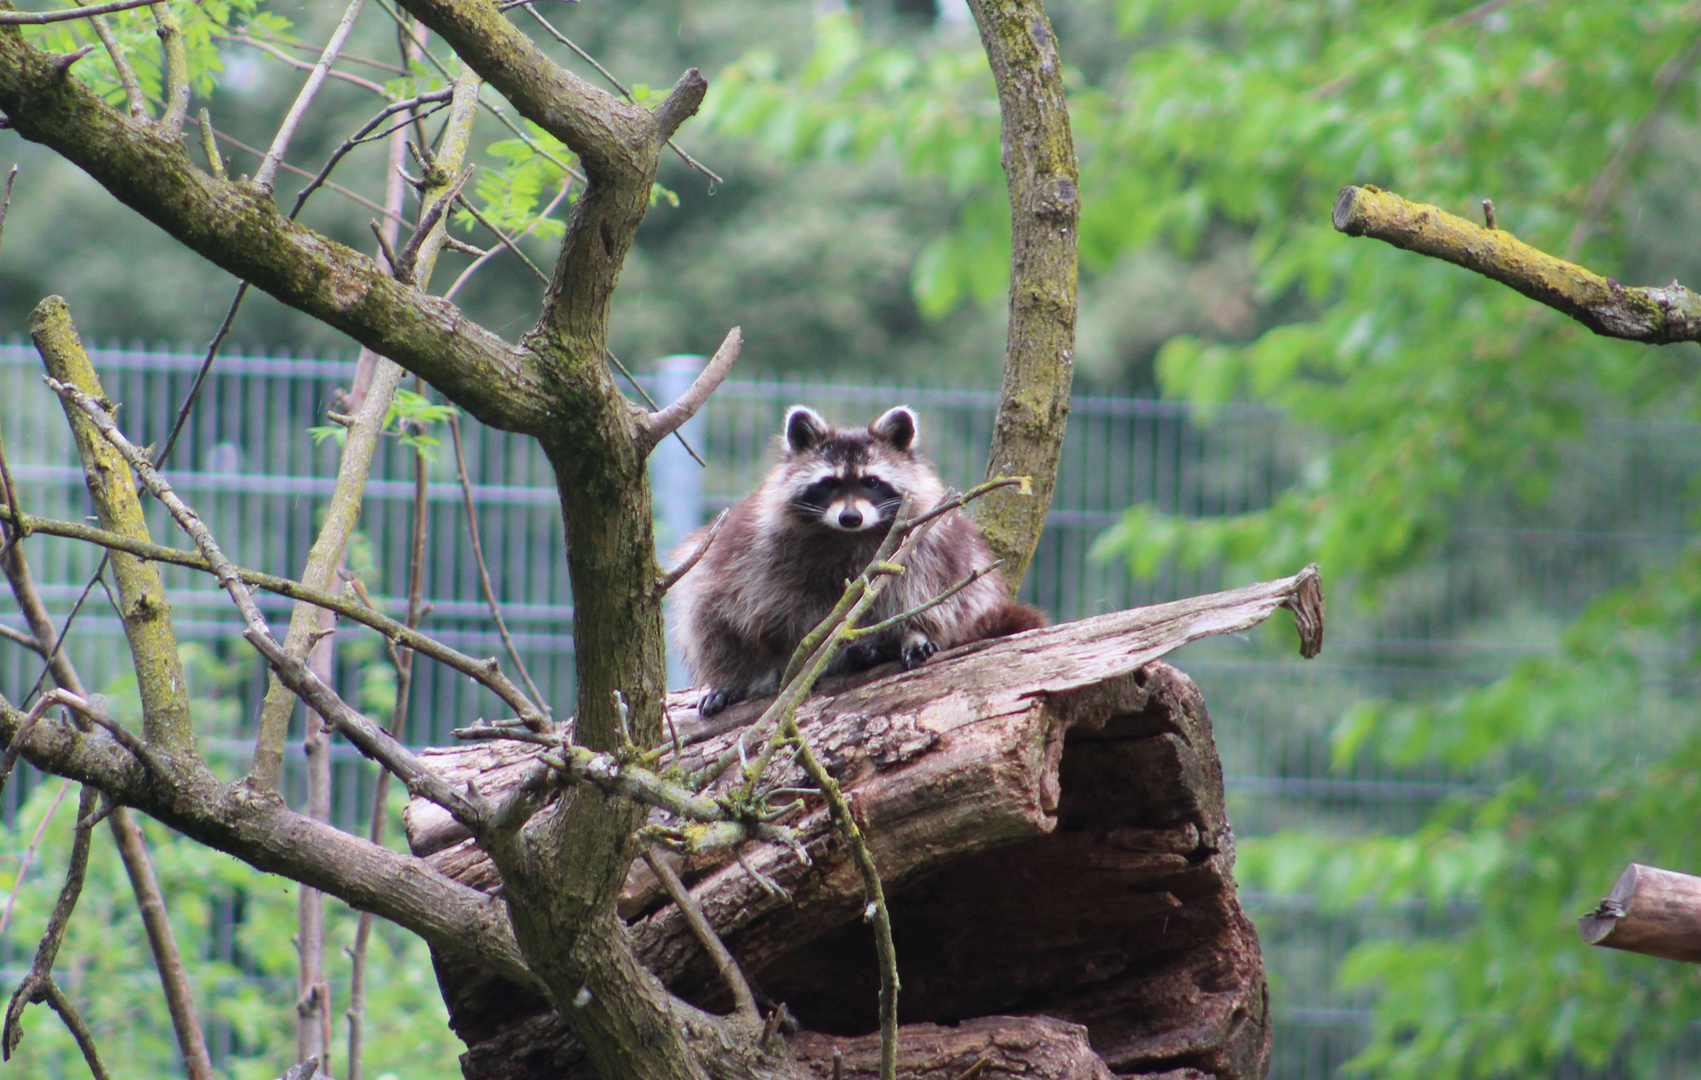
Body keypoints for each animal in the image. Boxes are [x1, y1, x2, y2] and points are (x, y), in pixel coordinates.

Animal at [666, 404, 1041, 717]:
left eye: (871, 482)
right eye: (829, 484)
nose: (850, 517)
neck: (849, 536)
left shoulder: (926, 544)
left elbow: (935, 592)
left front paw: (913, 630)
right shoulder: (752, 548)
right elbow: (720, 607)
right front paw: (733, 675)